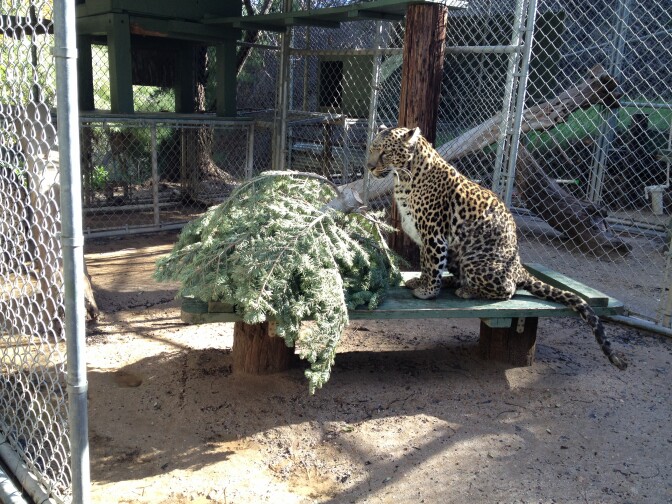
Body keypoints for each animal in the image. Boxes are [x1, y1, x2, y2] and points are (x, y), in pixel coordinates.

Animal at [366, 125, 627, 370]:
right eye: (372, 149)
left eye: (385, 152)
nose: (369, 167)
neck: (404, 178)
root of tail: (520, 267)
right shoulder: (424, 235)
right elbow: (425, 263)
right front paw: (419, 282)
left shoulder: (434, 233)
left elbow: (431, 263)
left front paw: (428, 292)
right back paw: (453, 283)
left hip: (476, 259)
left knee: (508, 290)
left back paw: (467, 291)